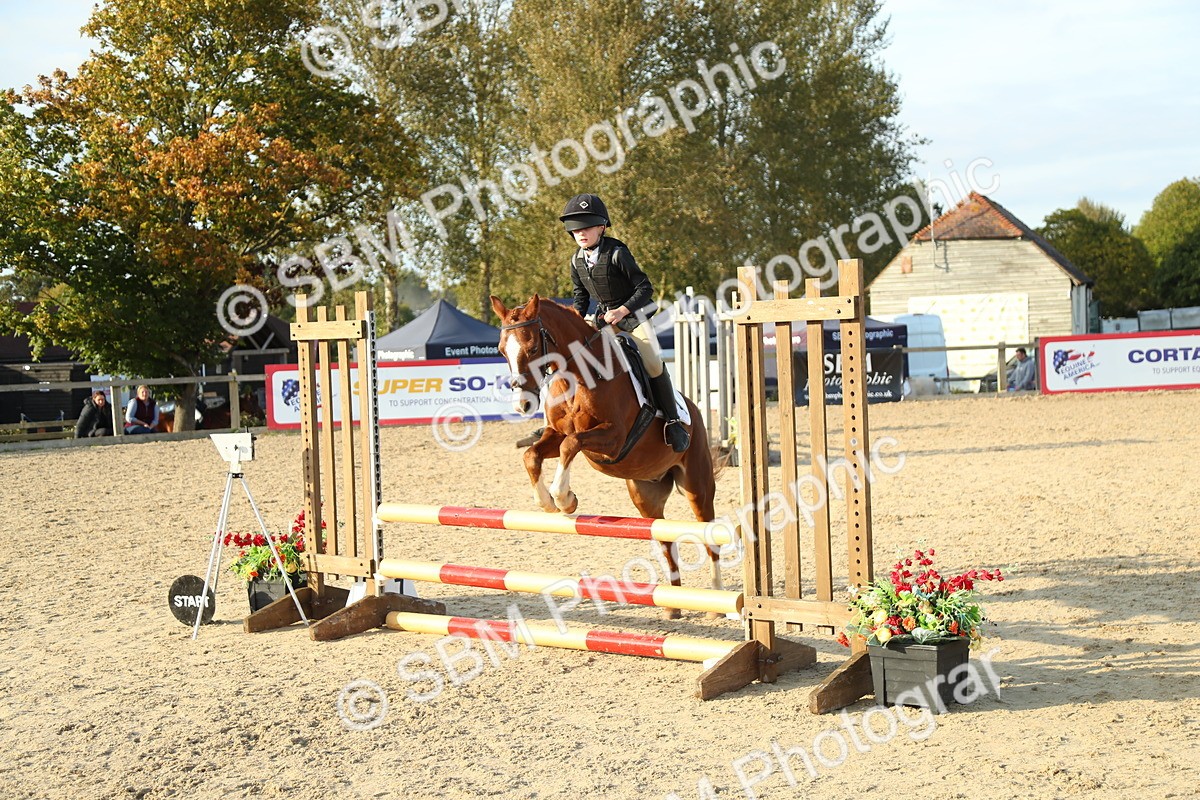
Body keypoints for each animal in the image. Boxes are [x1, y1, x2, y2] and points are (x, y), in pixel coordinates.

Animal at [490, 294, 722, 618]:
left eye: (533, 347)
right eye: (501, 351)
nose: (522, 404)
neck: (576, 377)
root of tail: (696, 413)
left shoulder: (613, 438)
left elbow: (570, 445)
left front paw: (565, 499)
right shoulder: (555, 433)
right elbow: (533, 455)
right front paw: (547, 502)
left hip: (697, 486)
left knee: (709, 535)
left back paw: (716, 604)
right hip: (646, 497)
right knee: (665, 539)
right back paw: (673, 606)